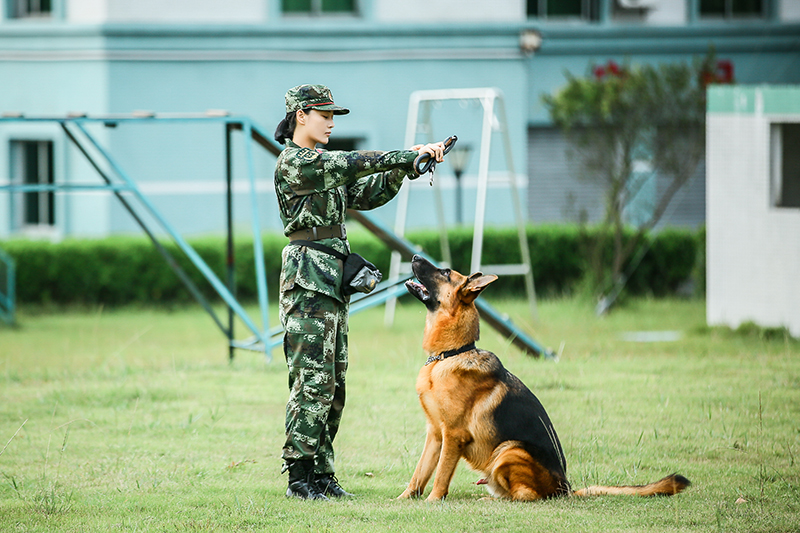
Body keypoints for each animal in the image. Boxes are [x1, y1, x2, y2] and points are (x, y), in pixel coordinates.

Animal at [400, 256, 688, 500]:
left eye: (445, 272)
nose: (414, 256)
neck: (450, 354)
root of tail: (566, 488)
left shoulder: (453, 436)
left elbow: (440, 475)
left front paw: (433, 501)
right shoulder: (435, 434)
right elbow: (419, 473)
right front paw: (404, 500)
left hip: (509, 450)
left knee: (526, 496)